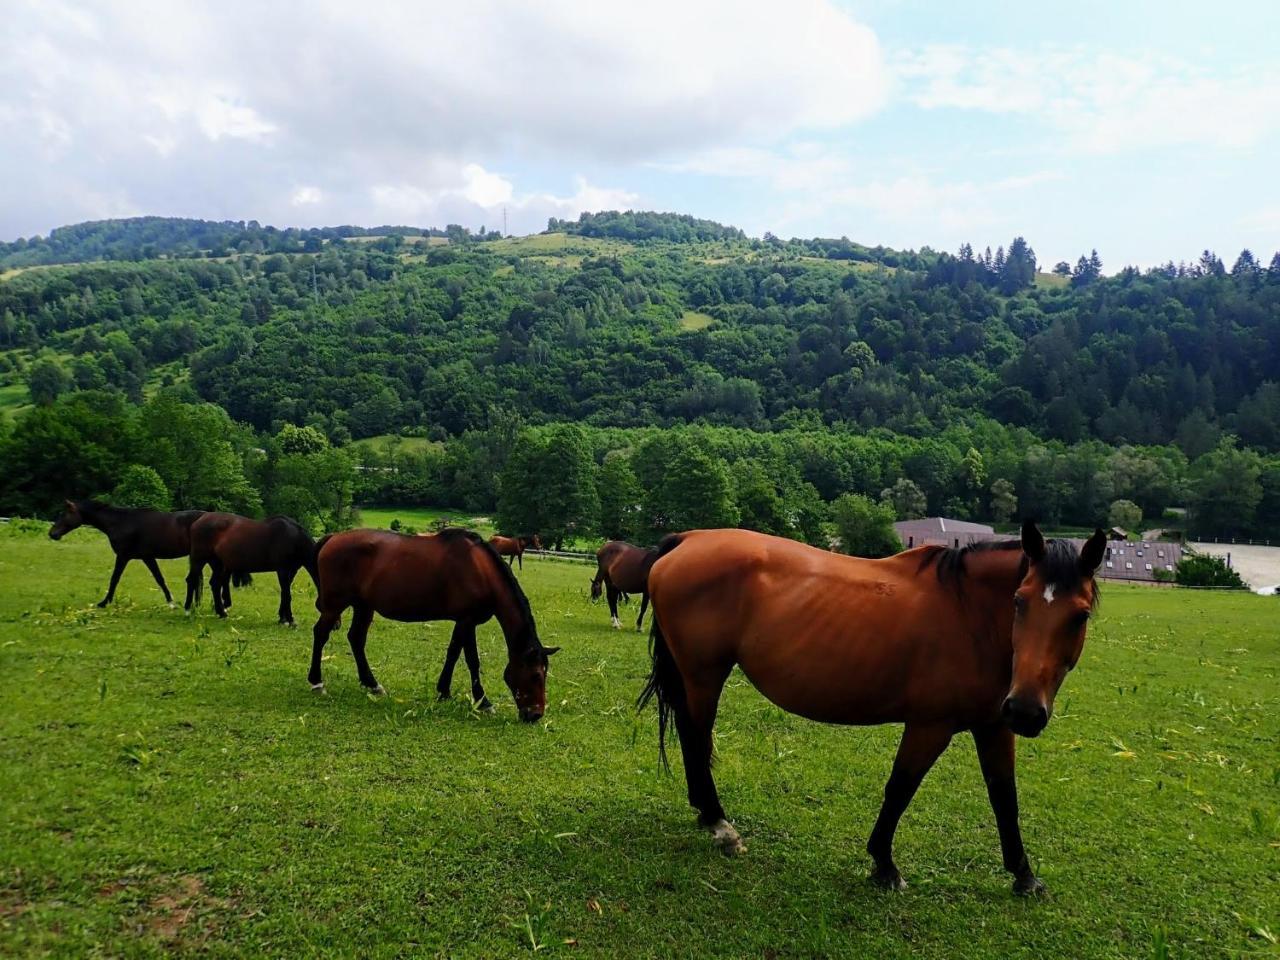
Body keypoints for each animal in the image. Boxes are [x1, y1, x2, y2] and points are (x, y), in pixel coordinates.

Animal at [49, 504, 204, 609]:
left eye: (64, 514)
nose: (52, 533)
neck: (121, 522)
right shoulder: (147, 557)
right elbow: (159, 578)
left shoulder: (124, 556)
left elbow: (114, 579)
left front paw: (104, 602)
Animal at [184, 514, 316, 627]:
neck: (294, 537)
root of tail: (198, 520)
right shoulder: (283, 570)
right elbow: (287, 594)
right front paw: (290, 620)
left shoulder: (292, 571)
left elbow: (284, 593)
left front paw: (282, 618)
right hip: (199, 559)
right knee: (191, 580)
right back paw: (187, 610)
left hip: (217, 563)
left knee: (215, 584)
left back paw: (222, 613)